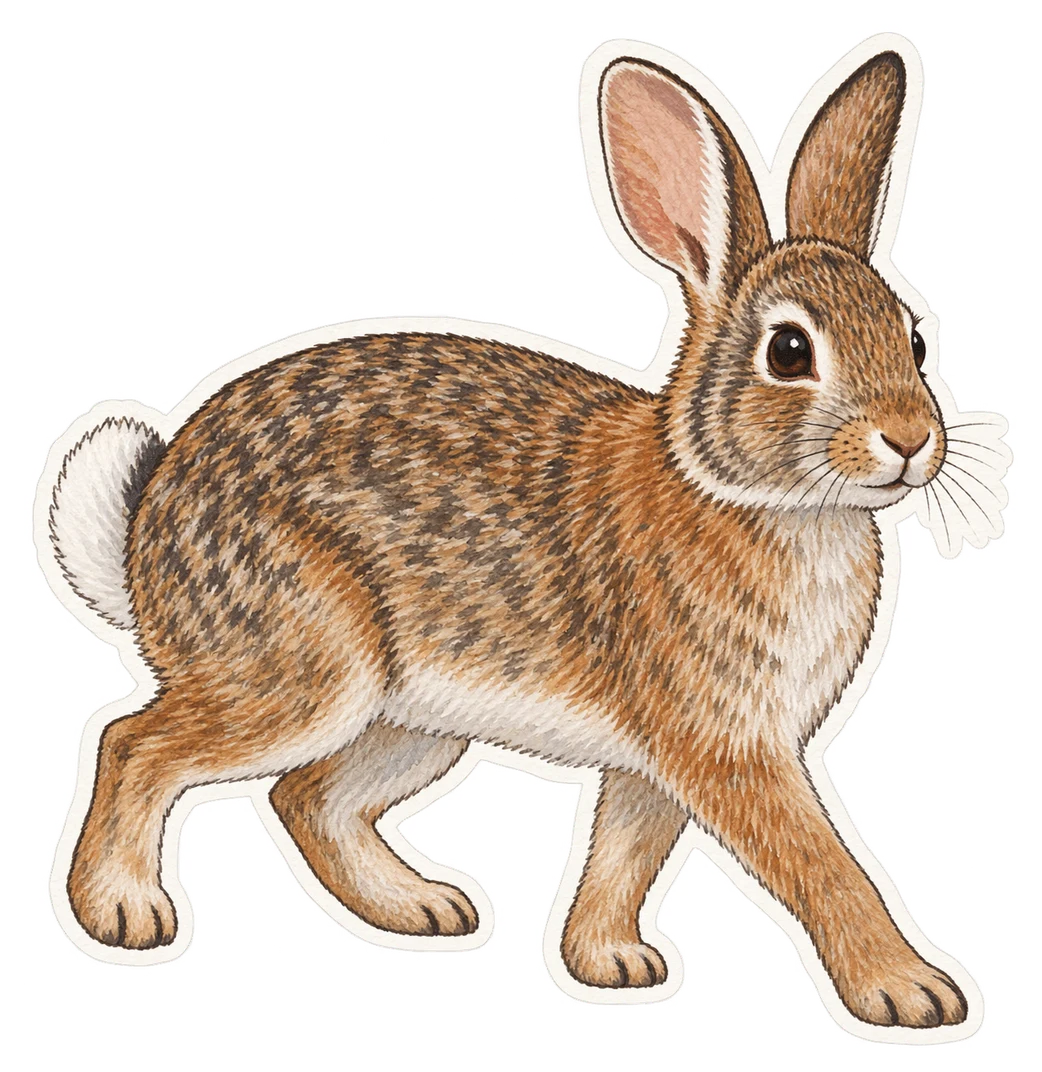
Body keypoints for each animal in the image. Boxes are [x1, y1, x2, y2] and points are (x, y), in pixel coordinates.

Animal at [46, 48, 976, 1027]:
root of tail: (143, 540)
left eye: (915, 339)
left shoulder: (657, 761)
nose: (910, 439)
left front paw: (610, 964)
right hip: (301, 669)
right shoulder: (724, 746)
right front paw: (909, 992)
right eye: (791, 352)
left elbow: (625, 853)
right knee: (136, 743)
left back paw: (423, 908)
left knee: (305, 796)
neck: (756, 494)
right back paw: (122, 911)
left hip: (415, 717)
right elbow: (822, 868)